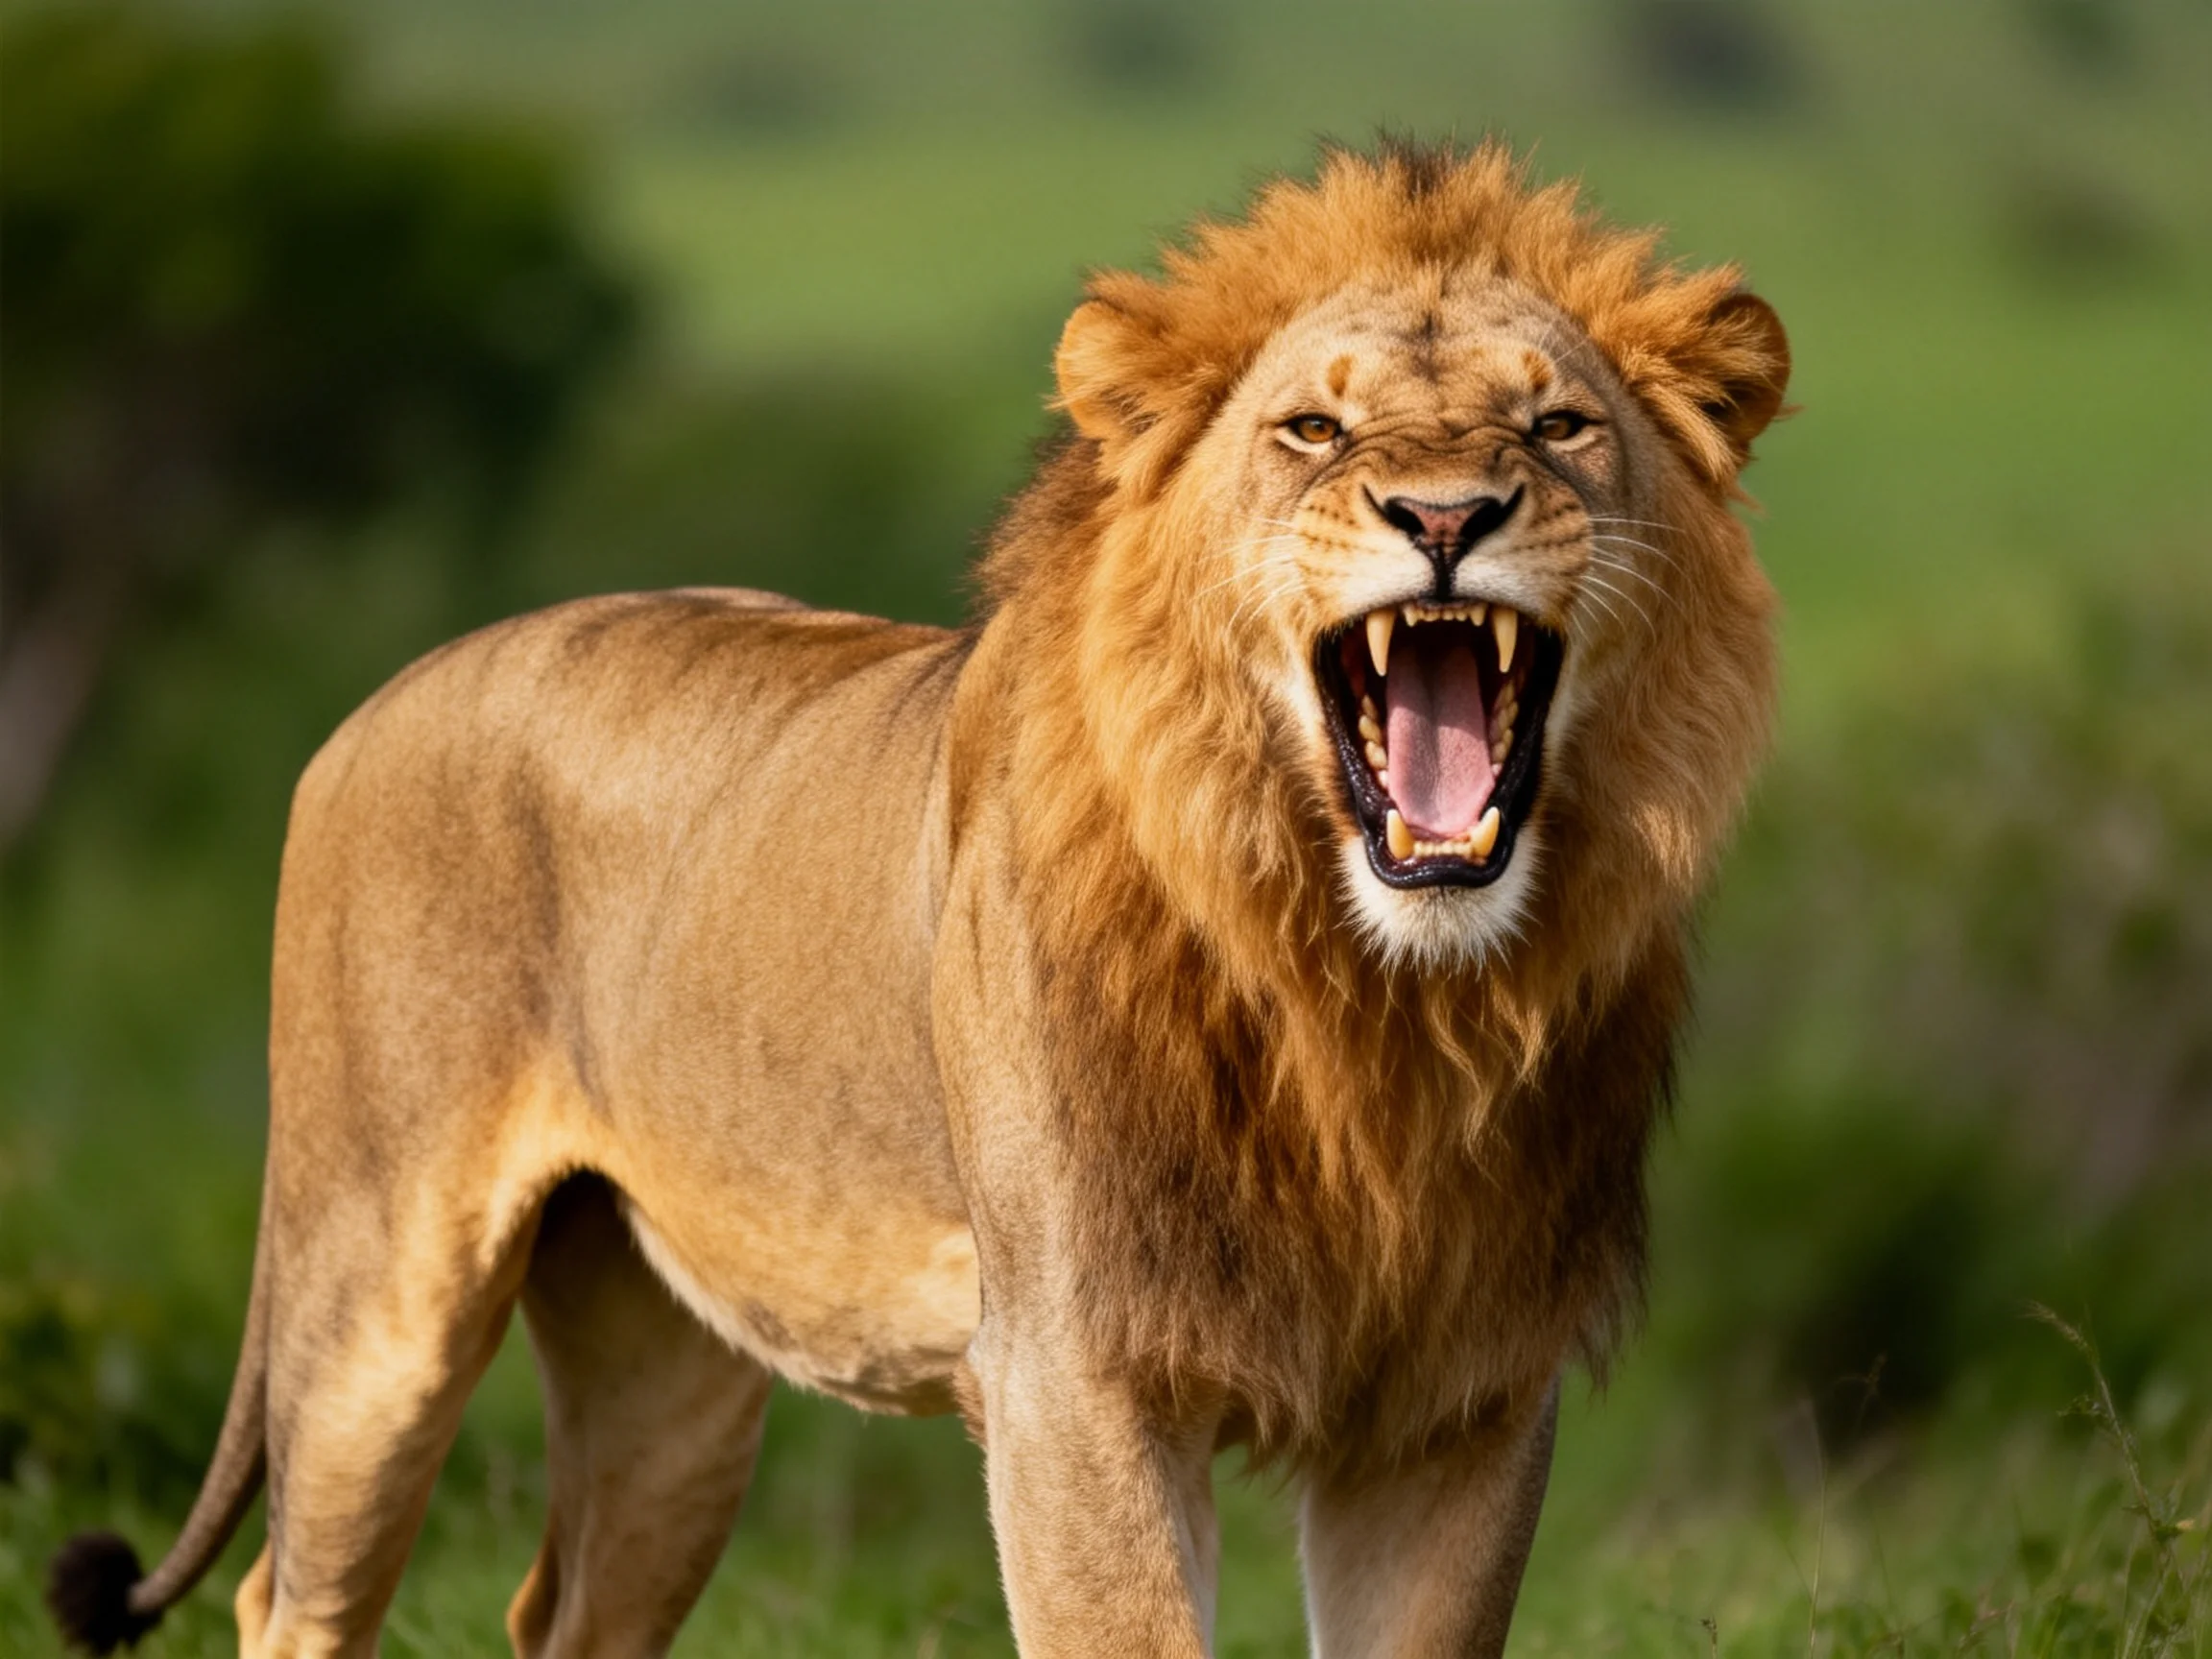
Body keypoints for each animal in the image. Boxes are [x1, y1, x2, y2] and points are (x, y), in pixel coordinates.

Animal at [49, 140, 1788, 1658]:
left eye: (1556, 426)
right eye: (1308, 429)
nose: (1440, 515)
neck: (1367, 993)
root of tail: (372, 703)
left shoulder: (1457, 1401)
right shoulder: (1069, 1372)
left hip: (667, 1370)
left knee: (566, 1612)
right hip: (376, 1296)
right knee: (291, 1598)